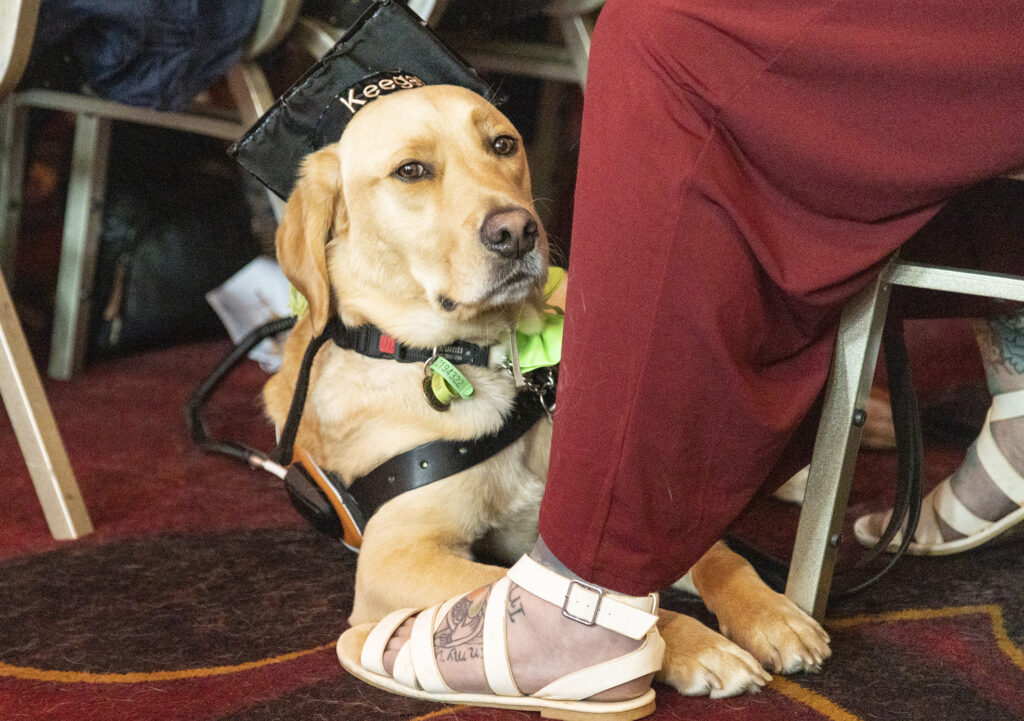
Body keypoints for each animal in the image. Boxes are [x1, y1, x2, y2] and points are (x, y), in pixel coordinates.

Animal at [264, 81, 831, 700]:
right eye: (411, 170)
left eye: (502, 144)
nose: (515, 231)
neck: (487, 358)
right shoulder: (397, 557)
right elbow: (568, 597)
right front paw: (694, 644)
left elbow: (717, 556)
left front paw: (771, 615)